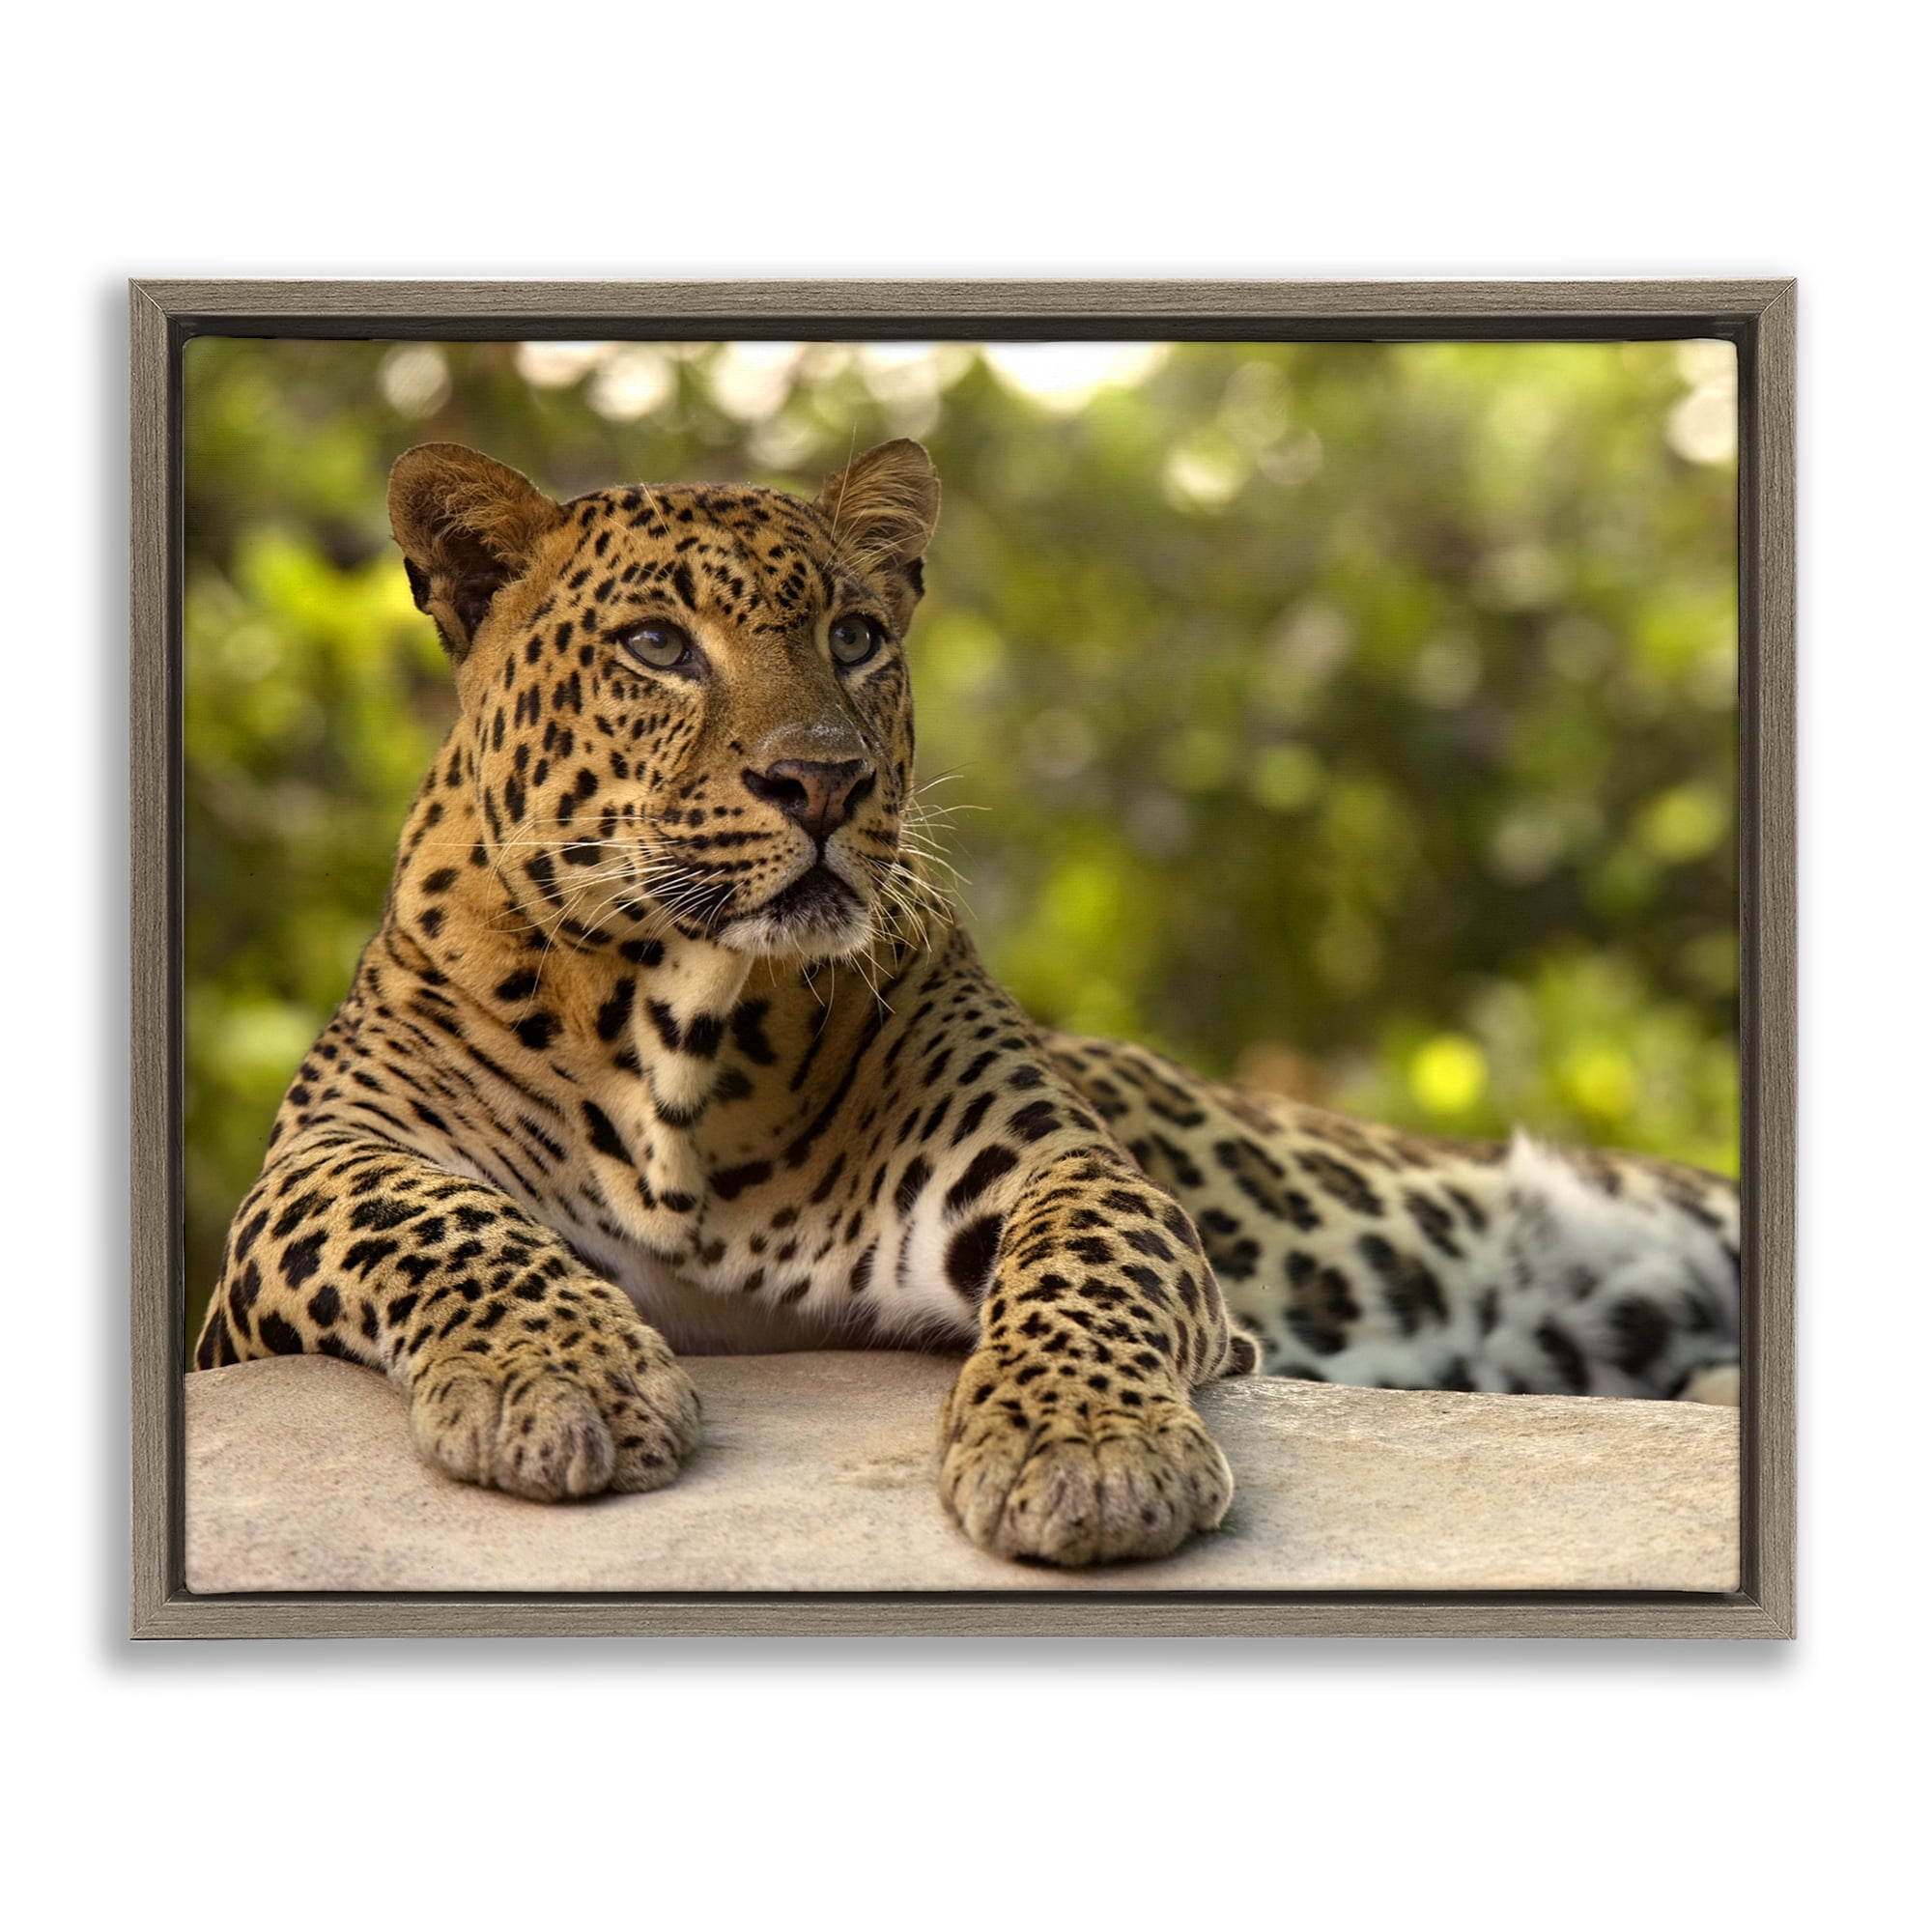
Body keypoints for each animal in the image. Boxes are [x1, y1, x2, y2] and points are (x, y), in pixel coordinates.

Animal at [193, 436, 1741, 1569]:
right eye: (656, 645)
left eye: (855, 636)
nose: (822, 781)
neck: (682, 1025)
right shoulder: (307, 1181)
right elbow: (431, 1216)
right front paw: (558, 1378)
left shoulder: (1048, 1163)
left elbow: (1083, 1264)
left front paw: (1084, 1452)